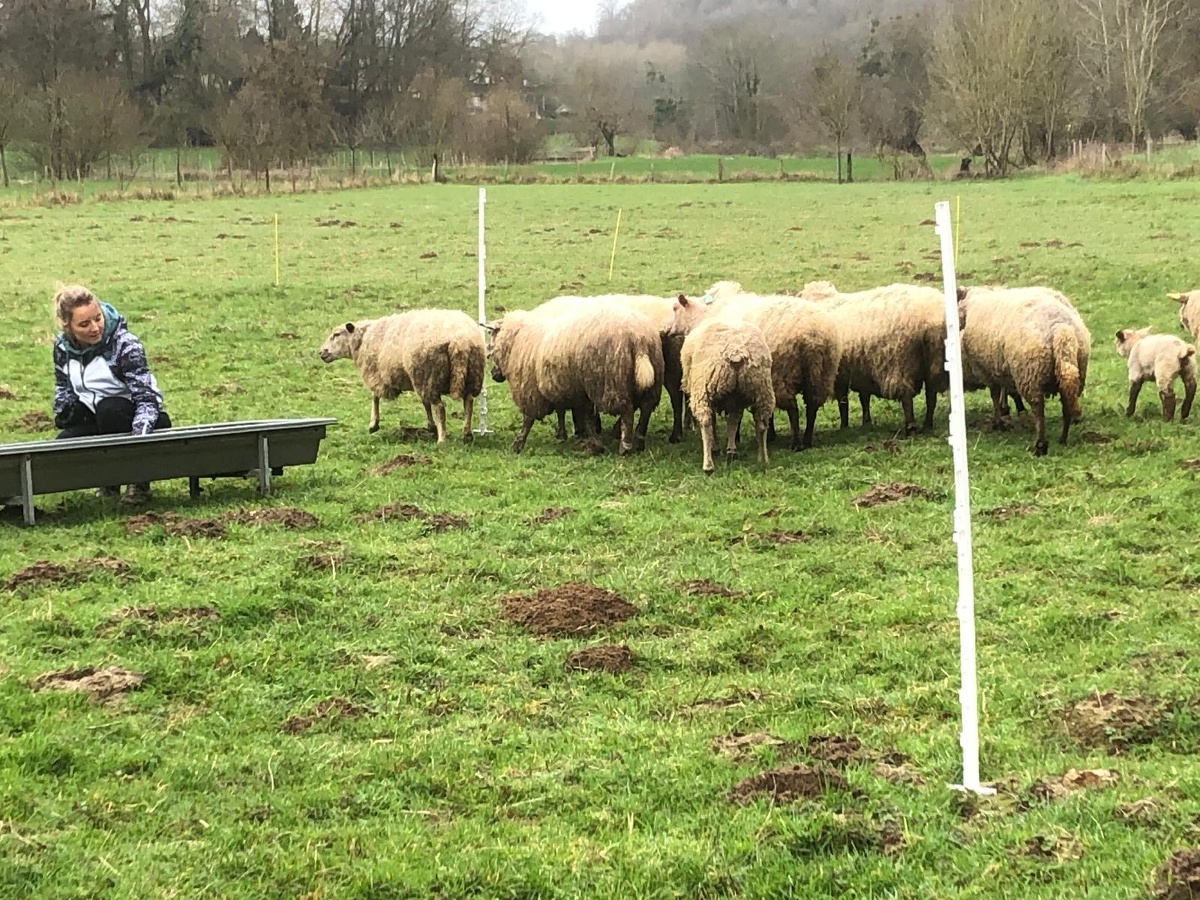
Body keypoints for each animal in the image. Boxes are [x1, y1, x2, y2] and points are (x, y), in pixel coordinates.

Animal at [318, 308, 485, 443]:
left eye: (336, 334)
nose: (321, 352)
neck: (363, 339)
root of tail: (460, 341)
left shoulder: (379, 374)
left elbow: (374, 397)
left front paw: (373, 424)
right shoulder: (413, 378)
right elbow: (425, 403)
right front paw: (431, 426)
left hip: (430, 376)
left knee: (440, 408)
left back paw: (442, 439)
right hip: (469, 376)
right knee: (468, 403)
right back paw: (467, 434)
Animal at [487, 304, 663, 454]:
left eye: (491, 346)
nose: (494, 375)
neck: (516, 339)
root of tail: (639, 338)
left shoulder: (531, 389)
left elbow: (528, 419)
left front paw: (518, 443)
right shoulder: (571, 388)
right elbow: (581, 415)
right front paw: (579, 438)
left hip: (610, 382)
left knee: (627, 410)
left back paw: (625, 446)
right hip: (651, 378)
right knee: (646, 407)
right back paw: (639, 440)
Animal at [667, 294, 775, 473]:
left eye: (675, 308)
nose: (665, 329)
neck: (700, 319)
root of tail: (736, 353)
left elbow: (714, 423)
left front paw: (716, 448)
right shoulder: (735, 399)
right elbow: (732, 423)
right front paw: (730, 450)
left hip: (704, 388)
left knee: (705, 422)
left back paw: (708, 465)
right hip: (760, 388)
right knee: (761, 423)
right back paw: (763, 458)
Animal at [703, 288, 841, 449]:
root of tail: (813, 339)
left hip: (783, 374)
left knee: (793, 409)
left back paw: (796, 443)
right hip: (823, 374)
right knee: (812, 407)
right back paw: (807, 440)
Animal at [957, 286, 1091, 455]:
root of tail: (1060, 329)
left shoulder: (988, 371)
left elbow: (995, 395)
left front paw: (998, 422)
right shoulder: (1003, 369)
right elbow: (1006, 392)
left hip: (1029, 374)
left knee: (1038, 409)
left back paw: (1040, 445)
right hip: (1075, 371)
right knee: (1067, 404)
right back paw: (1062, 439)